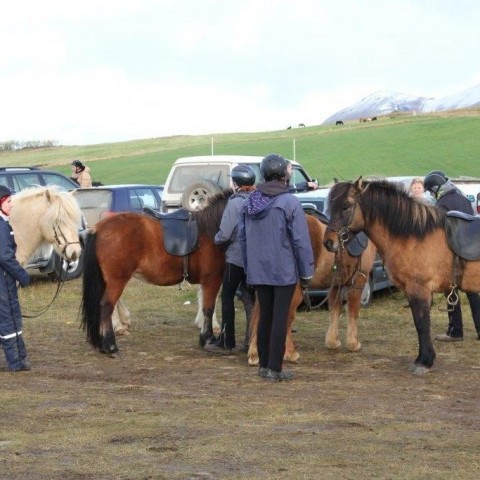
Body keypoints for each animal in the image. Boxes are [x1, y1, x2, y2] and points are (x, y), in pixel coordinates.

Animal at [80, 189, 231, 354]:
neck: (210, 231)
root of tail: (99, 229)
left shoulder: (207, 281)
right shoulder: (212, 279)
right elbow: (208, 308)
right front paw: (208, 339)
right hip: (117, 280)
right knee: (106, 306)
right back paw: (110, 345)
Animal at [248, 212, 378, 366]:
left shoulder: (336, 286)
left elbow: (335, 310)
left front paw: (332, 341)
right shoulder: (358, 281)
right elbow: (353, 311)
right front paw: (353, 344)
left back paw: (255, 353)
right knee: (287, 317)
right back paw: (290, 353)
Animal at [322, 177, 480, 376]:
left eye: (345, 207)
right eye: (331, 207)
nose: (328, 243)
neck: (414, 235)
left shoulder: (419, 290)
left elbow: (422, 325)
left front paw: (425, 362)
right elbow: (419, 324)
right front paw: (422, 359)